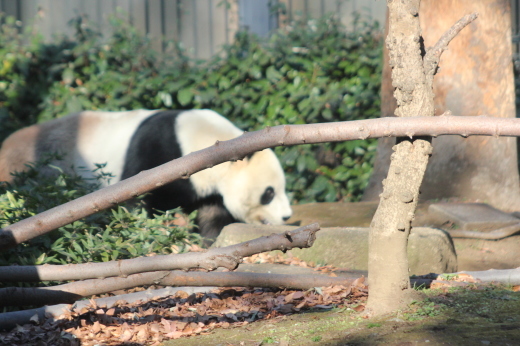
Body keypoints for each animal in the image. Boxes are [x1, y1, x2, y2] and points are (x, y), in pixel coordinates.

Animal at [0, 109, 292, 239]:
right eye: (269, 193)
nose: (287, 216)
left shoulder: (206, 185)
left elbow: (212, 213)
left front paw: (211, 237)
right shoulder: (155, 155)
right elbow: (135, 203)